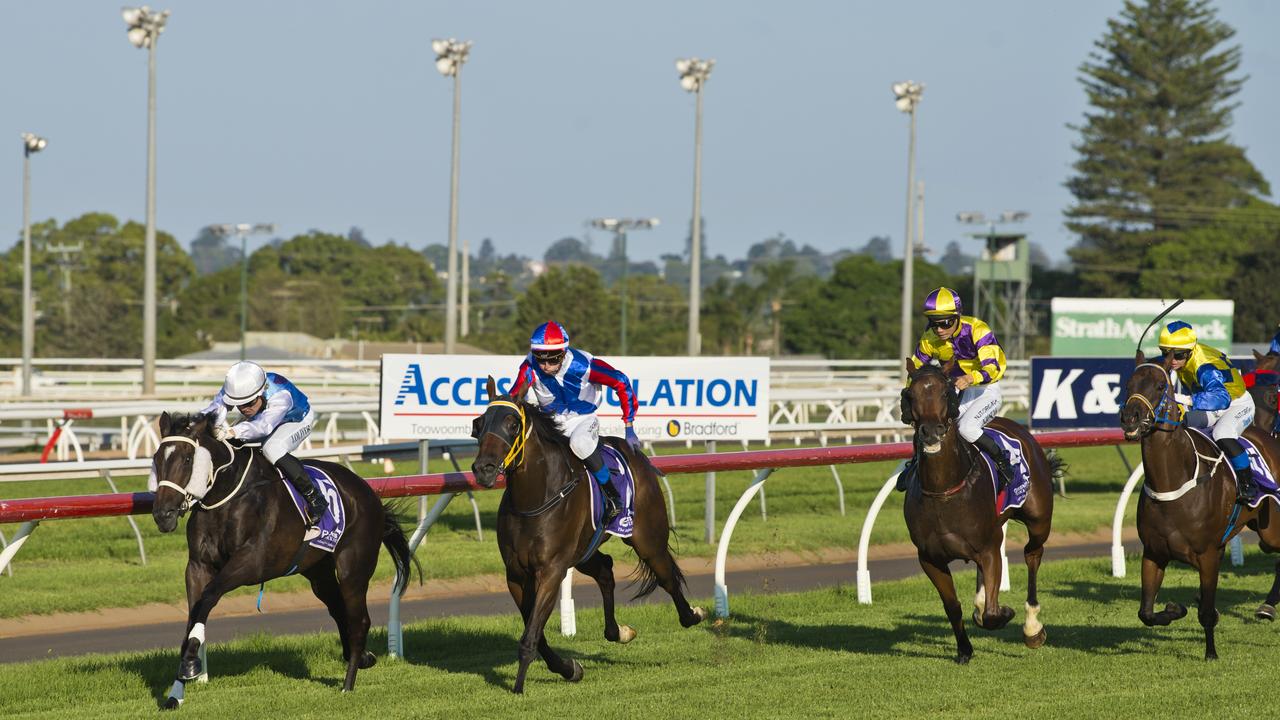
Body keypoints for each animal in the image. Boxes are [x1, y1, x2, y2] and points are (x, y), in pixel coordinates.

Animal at [149, 409, 417, 707]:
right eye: (157, 459)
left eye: (187, 458)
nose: (163, 514)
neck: (226, 496)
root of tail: (368, 491)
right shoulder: (197, 566)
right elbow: (193, 614)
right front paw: (178, 689)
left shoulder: (251, 563)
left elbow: (208, 597)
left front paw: (190, 665)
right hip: (318, 572)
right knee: (338, 609)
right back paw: (363, 658)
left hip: (354, 568)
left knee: (359, 620)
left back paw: (348, 683)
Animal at [473, 379, 711, 691]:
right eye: (479, 423)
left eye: (512, 424)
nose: (483, 469)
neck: (534, 499)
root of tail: (634, 453)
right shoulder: (516, 574)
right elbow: (537, 635)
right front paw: (569, 668)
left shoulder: (551, 571)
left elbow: (530, 636)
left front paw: (518, 687)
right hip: (583, 552)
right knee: (606, 569)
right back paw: (618, 632)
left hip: (647, 539)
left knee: (666, 577)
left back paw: (693, 614)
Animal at [901, 361, 1059, 661]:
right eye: (910, 394)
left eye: (946, 392)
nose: (930, 431)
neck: (944, 490)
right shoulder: (930, 558)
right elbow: (953, 606)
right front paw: (965, 649)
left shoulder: (988, 549)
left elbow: (992, 615)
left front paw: (1007, 612)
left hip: (1039, 519)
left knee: (1033, 555)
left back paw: (1032, 627)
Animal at [1116, 348, 1280, 655]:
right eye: (1128, 385)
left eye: (1160, 386)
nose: (1130, 417)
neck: (1171, 481)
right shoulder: (1154, 553)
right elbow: (1146, 612)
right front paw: (1175, 608)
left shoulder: (1208, 555)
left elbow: (1206, 613)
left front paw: (1211, 654)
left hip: (1271, 530)